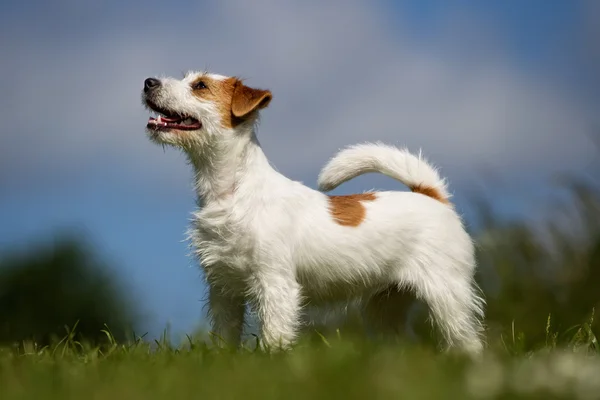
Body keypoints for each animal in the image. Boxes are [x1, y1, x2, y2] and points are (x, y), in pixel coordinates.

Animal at [143, 70, 486, 354]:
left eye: (200, 86)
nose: (148, 82)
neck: (232, 190)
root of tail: (433, 196)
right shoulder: (224, 289)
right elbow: (225, 334)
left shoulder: (275, 283)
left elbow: (275, 334)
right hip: (385, 304)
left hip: (446, 292)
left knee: (466, 339)